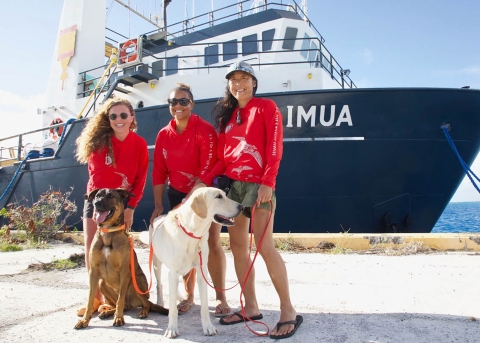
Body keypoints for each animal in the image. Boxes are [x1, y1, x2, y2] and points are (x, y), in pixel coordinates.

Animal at [73, 188, 167, 330]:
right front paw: (84, 320)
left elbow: (120, 299)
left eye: (111, 196)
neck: (108, 232)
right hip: (102, 283)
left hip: (136, 281)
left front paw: (118, 318)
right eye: (98, 196)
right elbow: (90, 299)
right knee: (126, 306)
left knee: (146, 303)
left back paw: (143, 312)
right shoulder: (93, 271)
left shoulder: (124, 270)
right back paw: (106, 312)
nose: (97, 203)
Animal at [139, 187, 244, 340]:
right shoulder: (173, 272)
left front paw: (208, 327)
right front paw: (172, 329)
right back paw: (161, 303)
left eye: (225, 194)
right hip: (156, 263)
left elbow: (204, 306)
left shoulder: (201, 272)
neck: (192, 233)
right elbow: (172, 309)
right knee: (159, 284)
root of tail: (159, 217)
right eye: (218, 197)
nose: (242, 207)